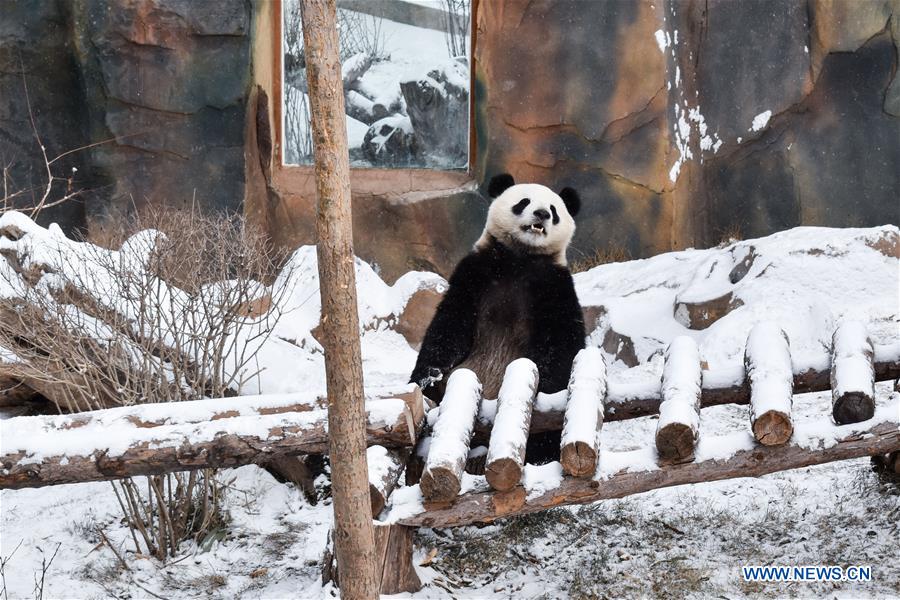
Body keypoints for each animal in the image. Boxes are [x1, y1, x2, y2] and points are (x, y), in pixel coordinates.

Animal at [409, 173, 586, 463]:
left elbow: (561, 342)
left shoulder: (555, 286)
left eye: (554, 210)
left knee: (546, 435)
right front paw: (428, 376)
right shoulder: (475, 273)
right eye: (523, 201)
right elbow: (449, 325)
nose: (541, 214)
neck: (520, 259)